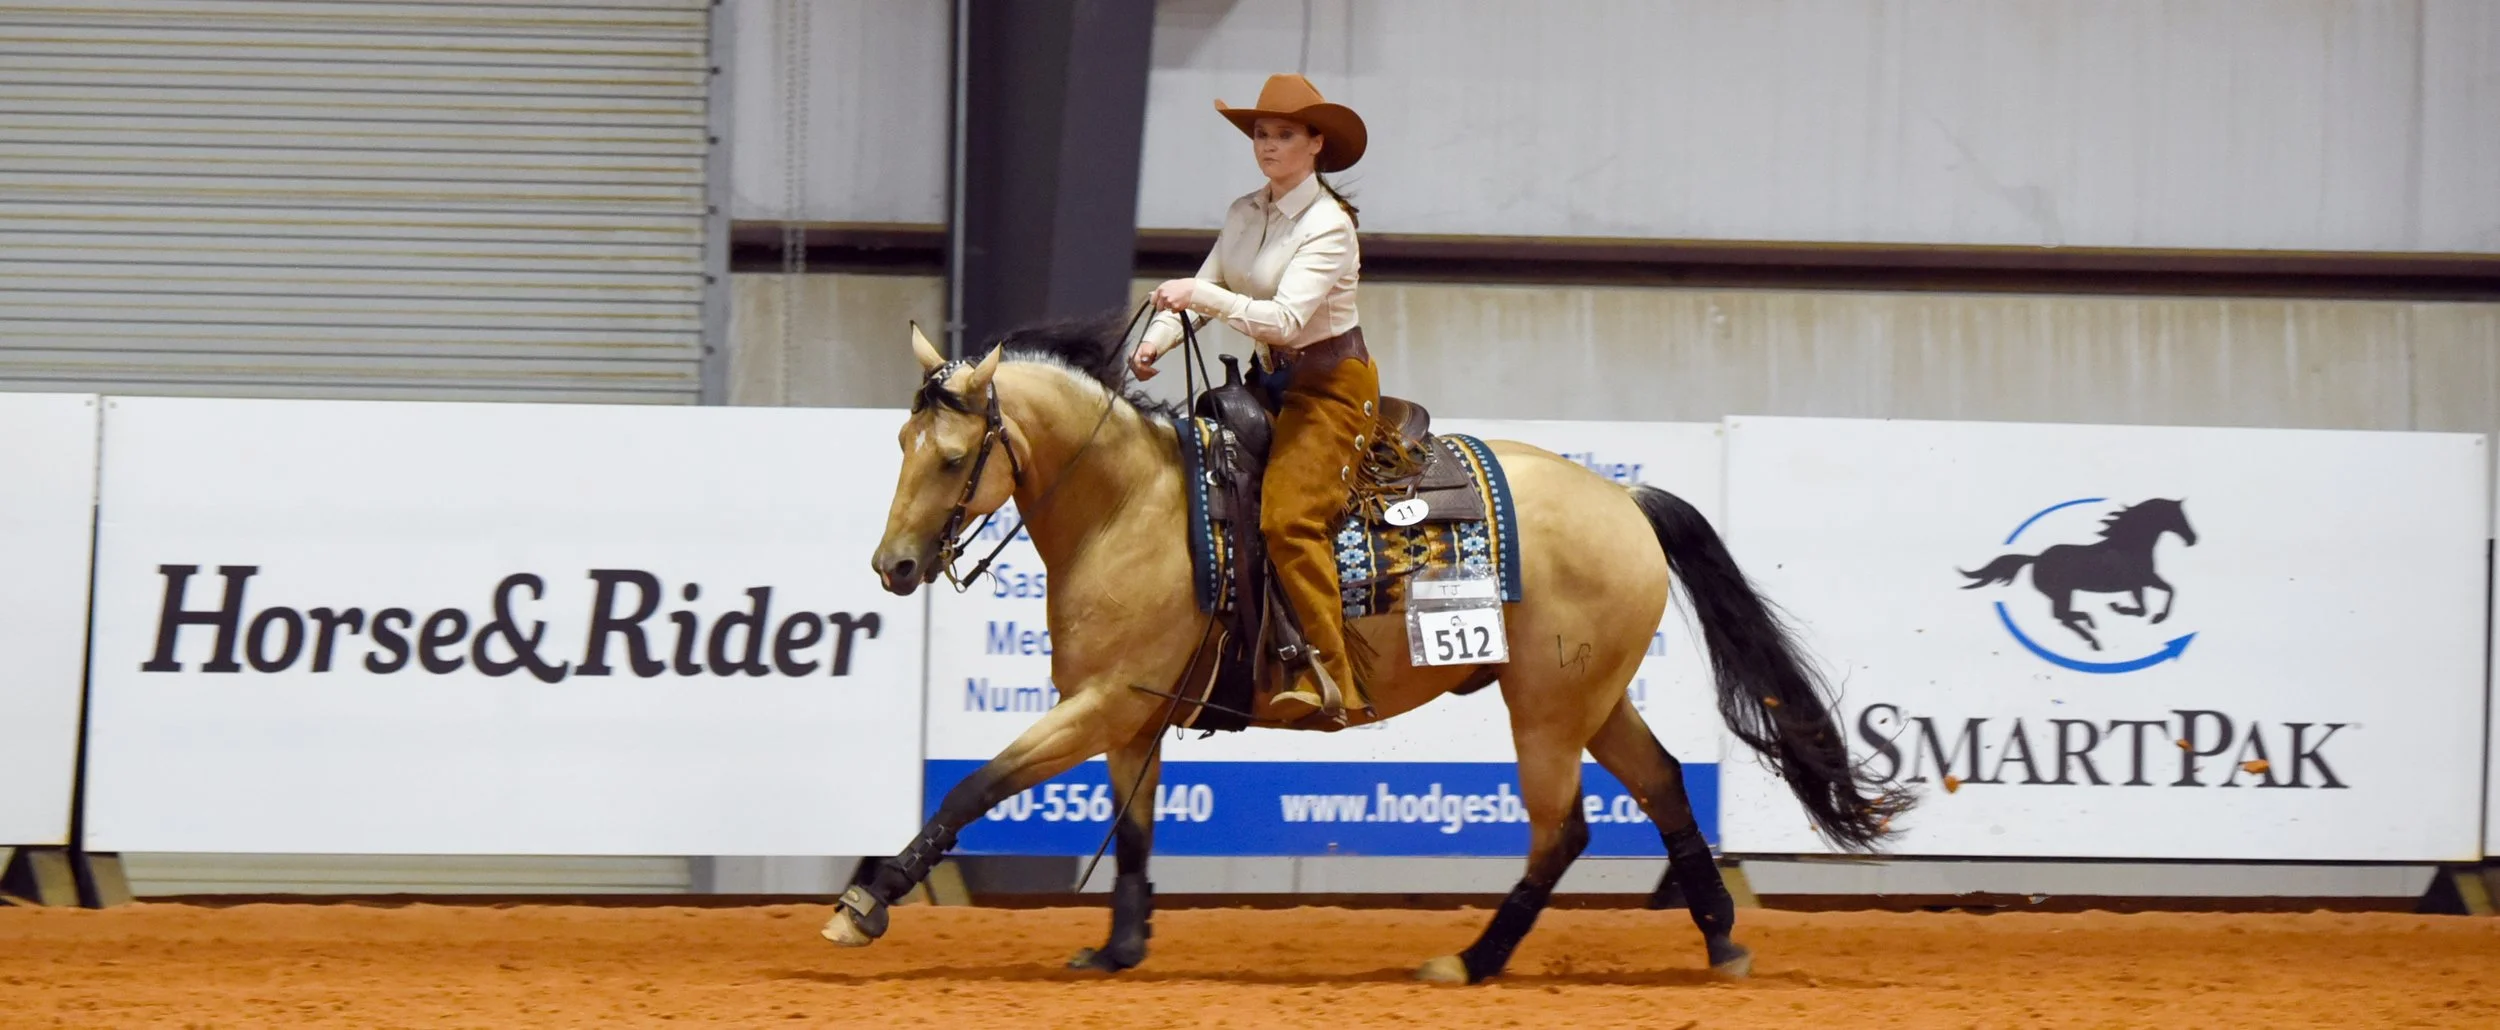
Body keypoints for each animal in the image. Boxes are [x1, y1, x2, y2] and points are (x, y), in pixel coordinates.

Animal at [823, 311, 1913, 984]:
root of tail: (1626, 499)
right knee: (1663, 786)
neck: (1130, 507)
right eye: (900, 446)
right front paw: (1120, 948)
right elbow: (1131, 829)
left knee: (1563, 831)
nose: (892, 566)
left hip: (1547, 708)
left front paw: (865, 900)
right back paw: (1720, 940)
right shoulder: (1128, 712)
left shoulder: (1104, 703)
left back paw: (1472, 960)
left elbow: (975, 787)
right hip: (1592, 697)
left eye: (952, 459)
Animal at [1959, 498, 2197, 651]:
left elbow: (2160, 596)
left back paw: (2090, 627)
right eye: (2177, 516)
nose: (2192, 539)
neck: (2128, 545)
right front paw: (2126, 609)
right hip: (2063, 593)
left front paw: (2146, 614)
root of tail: (2036, 558)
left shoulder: (2142, 583)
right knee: (2063, 617)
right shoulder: (2140, 582)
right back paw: (2092, 633)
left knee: (2063, 617)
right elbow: (2151, 603)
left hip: (2063, 594)